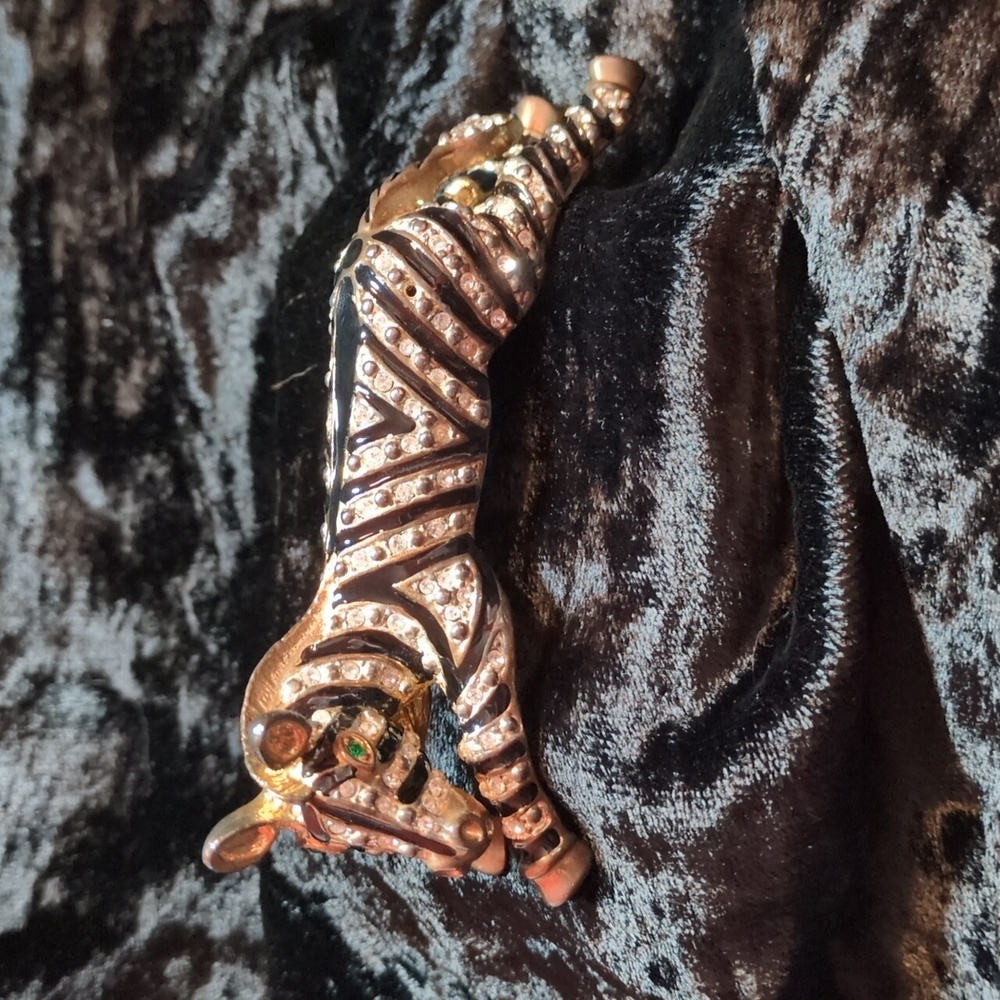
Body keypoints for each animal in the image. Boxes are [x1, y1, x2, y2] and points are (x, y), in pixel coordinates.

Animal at [203, 56, 643, 907]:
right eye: (337, 845)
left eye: (362, 760)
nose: (477, 852)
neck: (361, 623)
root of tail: (366, 252)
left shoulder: (472, 619)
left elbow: (493, 755)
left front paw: (556, 869)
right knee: (479, 170)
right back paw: (529, 114)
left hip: (498, 268)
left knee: (534, 182)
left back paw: (611, 88)